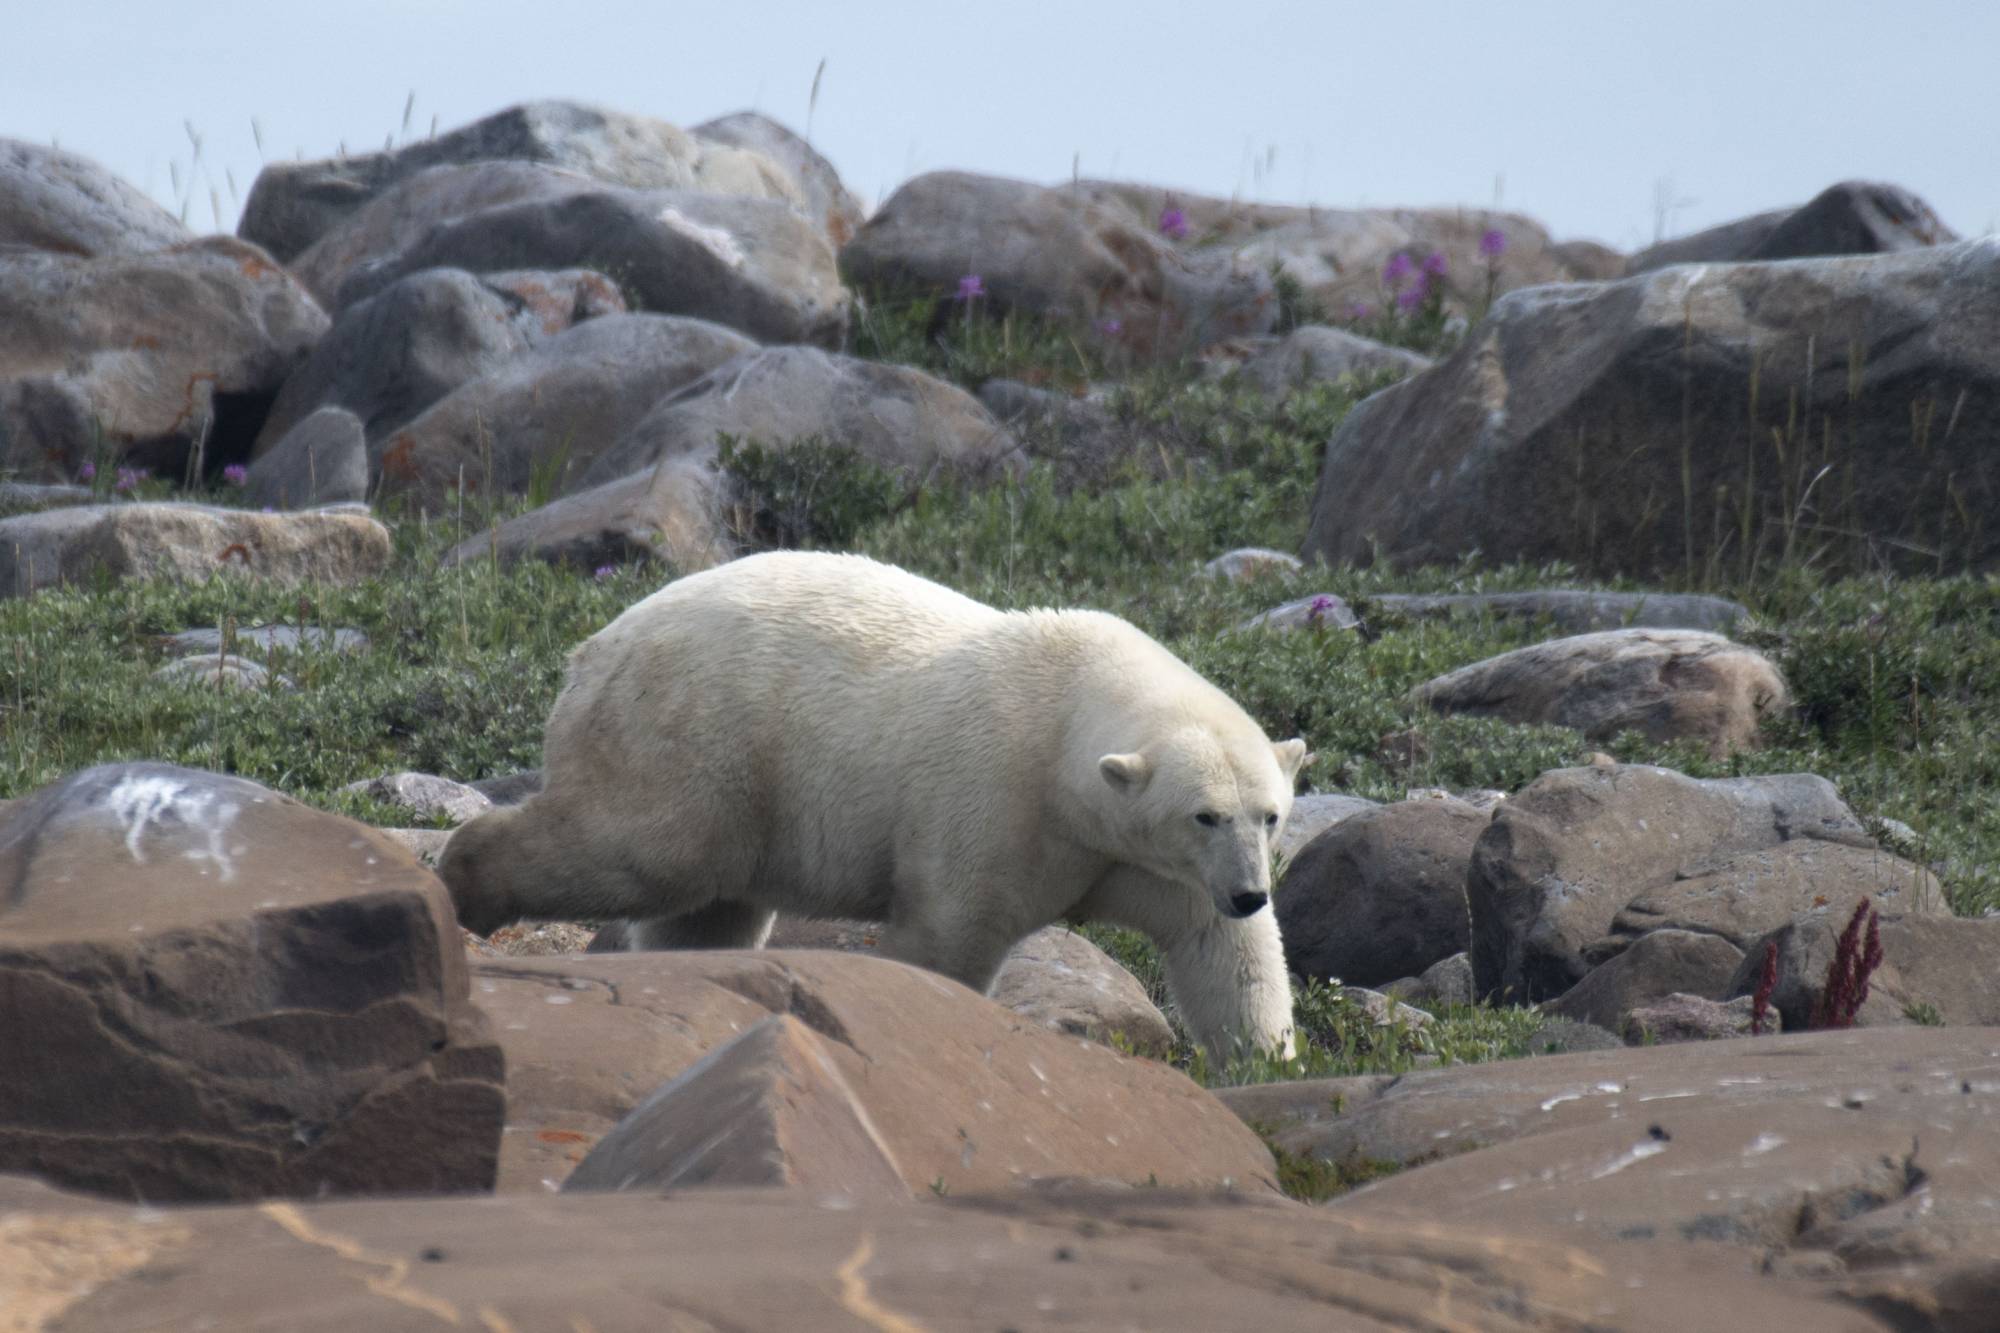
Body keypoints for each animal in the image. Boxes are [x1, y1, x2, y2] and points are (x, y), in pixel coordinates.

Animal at [444, 544, 1304, 1056]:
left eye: (1270, 814)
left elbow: (1221, 949)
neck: (1066, 712)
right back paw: (467, 880)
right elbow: (950, 931)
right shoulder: (995, 794)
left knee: (708, 910)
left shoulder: (1137, 859)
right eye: (1204, 813)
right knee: (641, 851)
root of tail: (592, 649)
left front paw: (1263, 1059)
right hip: (694, 736)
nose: (1251, 891)